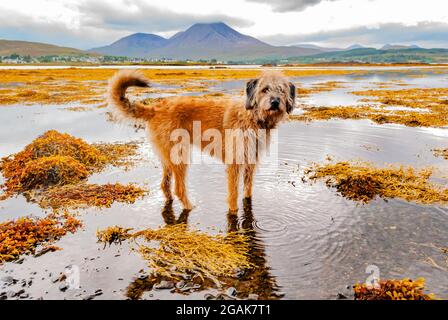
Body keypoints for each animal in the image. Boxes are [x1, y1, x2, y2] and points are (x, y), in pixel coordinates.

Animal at [108, 69, 296, 212]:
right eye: (265, 89)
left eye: (281, 90)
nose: (275, 102)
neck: (252, 116)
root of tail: (156, 108)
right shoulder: (234, 163)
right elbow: (233, 194)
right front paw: (233, 211)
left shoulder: (250, 160)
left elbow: (248, 189)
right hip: (180, 155)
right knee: (178, 188)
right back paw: (189, 206)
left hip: (168, 157)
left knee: (165, 184)